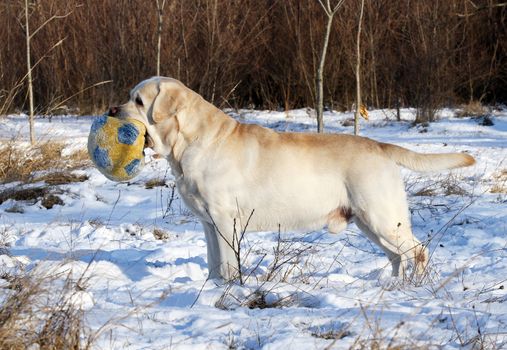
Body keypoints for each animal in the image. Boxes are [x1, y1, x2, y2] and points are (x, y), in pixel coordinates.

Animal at [110, 78, 476, 280]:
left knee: (418, 252)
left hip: (382, 216)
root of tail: (380, 146)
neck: (190, 141)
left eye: (138, 100)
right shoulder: (208, 223)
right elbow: (215, 264)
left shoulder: (225, 219)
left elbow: (228, 265)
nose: (112, 110)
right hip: (370, 222)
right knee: (398, 256)